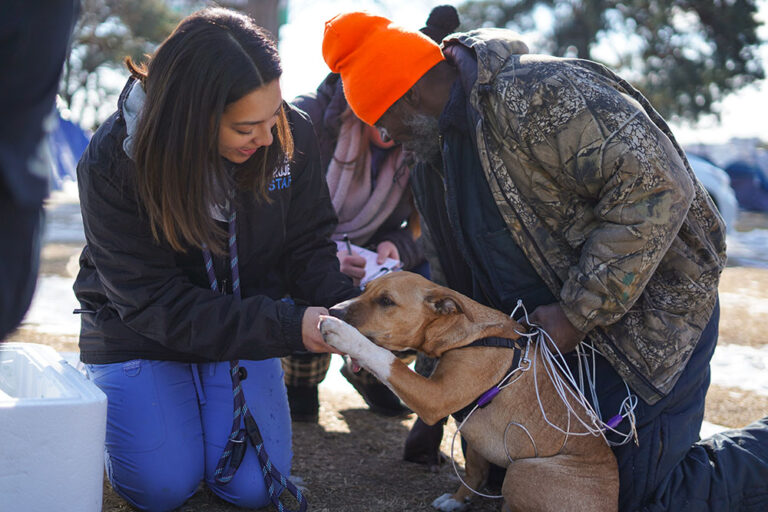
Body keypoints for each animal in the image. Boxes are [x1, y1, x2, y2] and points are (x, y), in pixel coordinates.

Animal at [320, 272, 620, 512]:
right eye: (365, 288)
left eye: (386, 301)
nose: (334, 310)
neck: (467, 334)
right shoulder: (473, 430)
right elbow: (475, 471)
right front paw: (457, 499)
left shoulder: (433, 398)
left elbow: (385, 359)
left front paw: (343, 334)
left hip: (524, 468)